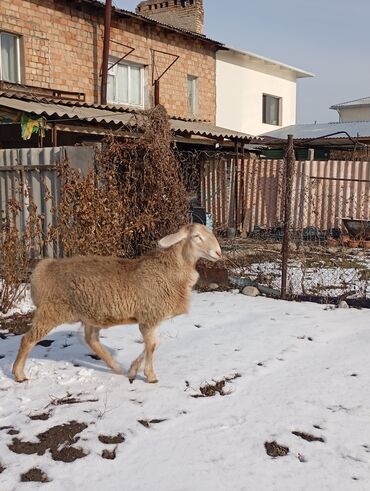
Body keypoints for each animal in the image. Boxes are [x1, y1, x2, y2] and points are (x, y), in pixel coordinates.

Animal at [13, 225, 223, 386]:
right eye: (196, 236)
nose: (218, 253)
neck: (171, 269)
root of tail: (44, 268)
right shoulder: (149, 316)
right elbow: (152, 346)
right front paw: (151, 377)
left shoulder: (150, 318)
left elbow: (152, 345)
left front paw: (133, 370)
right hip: (51, 311)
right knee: (27, 340)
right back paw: (18, 374)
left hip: (90, 313)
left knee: (91, 340)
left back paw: (116, 367)